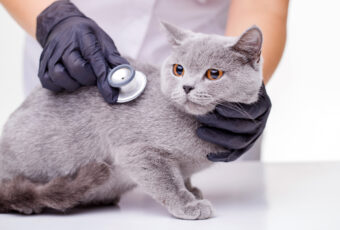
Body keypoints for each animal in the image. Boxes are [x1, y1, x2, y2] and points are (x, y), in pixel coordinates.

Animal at [0, 22, 262, 219]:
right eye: (178, 69)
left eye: (213, 74)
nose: (187, 87)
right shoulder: (139, 152)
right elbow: (167, 181)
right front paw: (188, 204)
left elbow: (182, 177)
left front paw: (193, 191)